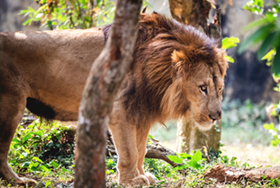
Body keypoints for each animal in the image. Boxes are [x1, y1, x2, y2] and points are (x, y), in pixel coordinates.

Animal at [0, 12, 226, 186]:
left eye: (220, 88)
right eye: (203, 88)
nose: (216, 117)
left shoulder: (141, 113)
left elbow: (141, 149)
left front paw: (142, 175)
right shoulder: (120, 111)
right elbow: (129, 151)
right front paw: (131, 181)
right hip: (11, 105)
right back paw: (17, 181)